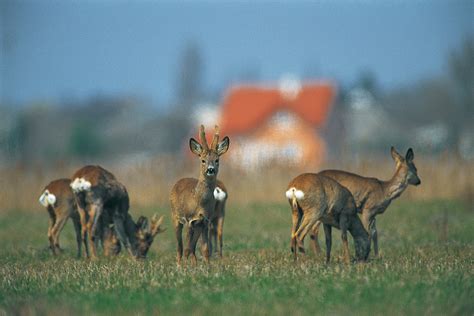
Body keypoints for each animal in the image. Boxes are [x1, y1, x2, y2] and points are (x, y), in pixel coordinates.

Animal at [170, 124, 230, 266]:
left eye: (216, 160)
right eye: (203, 160)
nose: (210, 169)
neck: (199, 201)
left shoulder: (204, 221)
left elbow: (204, 248)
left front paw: (207, 267)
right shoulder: (189, 220)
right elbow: (186, 248)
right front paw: (184, 268)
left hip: (199, 225)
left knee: (192, 247)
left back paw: (194, 264)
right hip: (175, 217)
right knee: (180, 247)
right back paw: (179, 265)